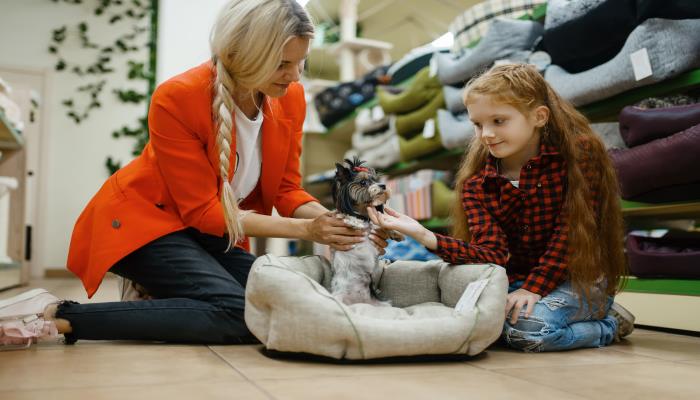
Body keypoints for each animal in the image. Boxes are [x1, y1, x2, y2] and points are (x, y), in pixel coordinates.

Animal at [330, 157, 404, 306]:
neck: (364, 216)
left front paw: (396, 234)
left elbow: (382, 226)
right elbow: (344, 216)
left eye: (375, 180)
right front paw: (354, 222)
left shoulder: (374, 225)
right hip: (337, 298)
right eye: (363, 182)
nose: (383, 185)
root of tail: (357, 301)